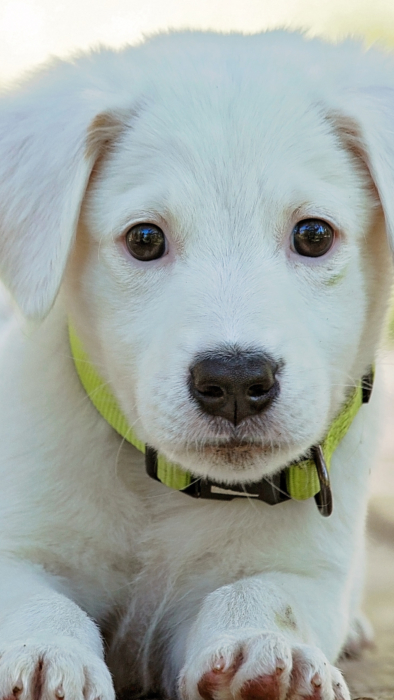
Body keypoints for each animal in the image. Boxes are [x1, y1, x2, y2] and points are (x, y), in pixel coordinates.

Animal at [0, 31, 394, 700]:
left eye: (314, 235)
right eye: (144, 239)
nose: (235, 382)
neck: (169, 490)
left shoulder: (311, 571)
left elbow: (264, 592)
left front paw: (265, 649)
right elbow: (36, 599)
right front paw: (47, 653)